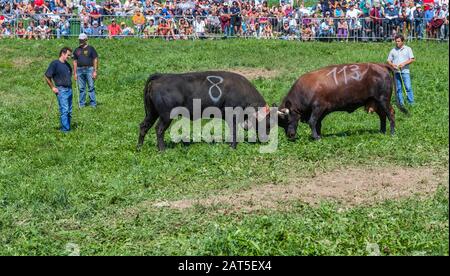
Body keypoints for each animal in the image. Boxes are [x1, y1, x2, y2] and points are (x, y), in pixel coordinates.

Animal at [135, 71, 272, 151]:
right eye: (269, 123)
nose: (266, 139)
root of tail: (160, 76)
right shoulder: (232, 115)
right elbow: (233, 130)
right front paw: (233, 147)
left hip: (152, 113)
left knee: (144, 126)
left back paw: (139, 148)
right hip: (166, 115)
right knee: (159, 129)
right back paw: (162, 149)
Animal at [278, 62, 408, 140]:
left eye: (286, 119)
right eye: (281, 123)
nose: (290, 136)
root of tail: (381, 65)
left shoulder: (318, 108)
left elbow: (312, 121)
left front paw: (316, 137)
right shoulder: (321, 111)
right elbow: (318, 123)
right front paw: (319, 135)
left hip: (383, 99)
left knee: (390, 113)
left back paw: (392, 133)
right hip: (375, 101)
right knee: (382, 115)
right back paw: (382, 131)